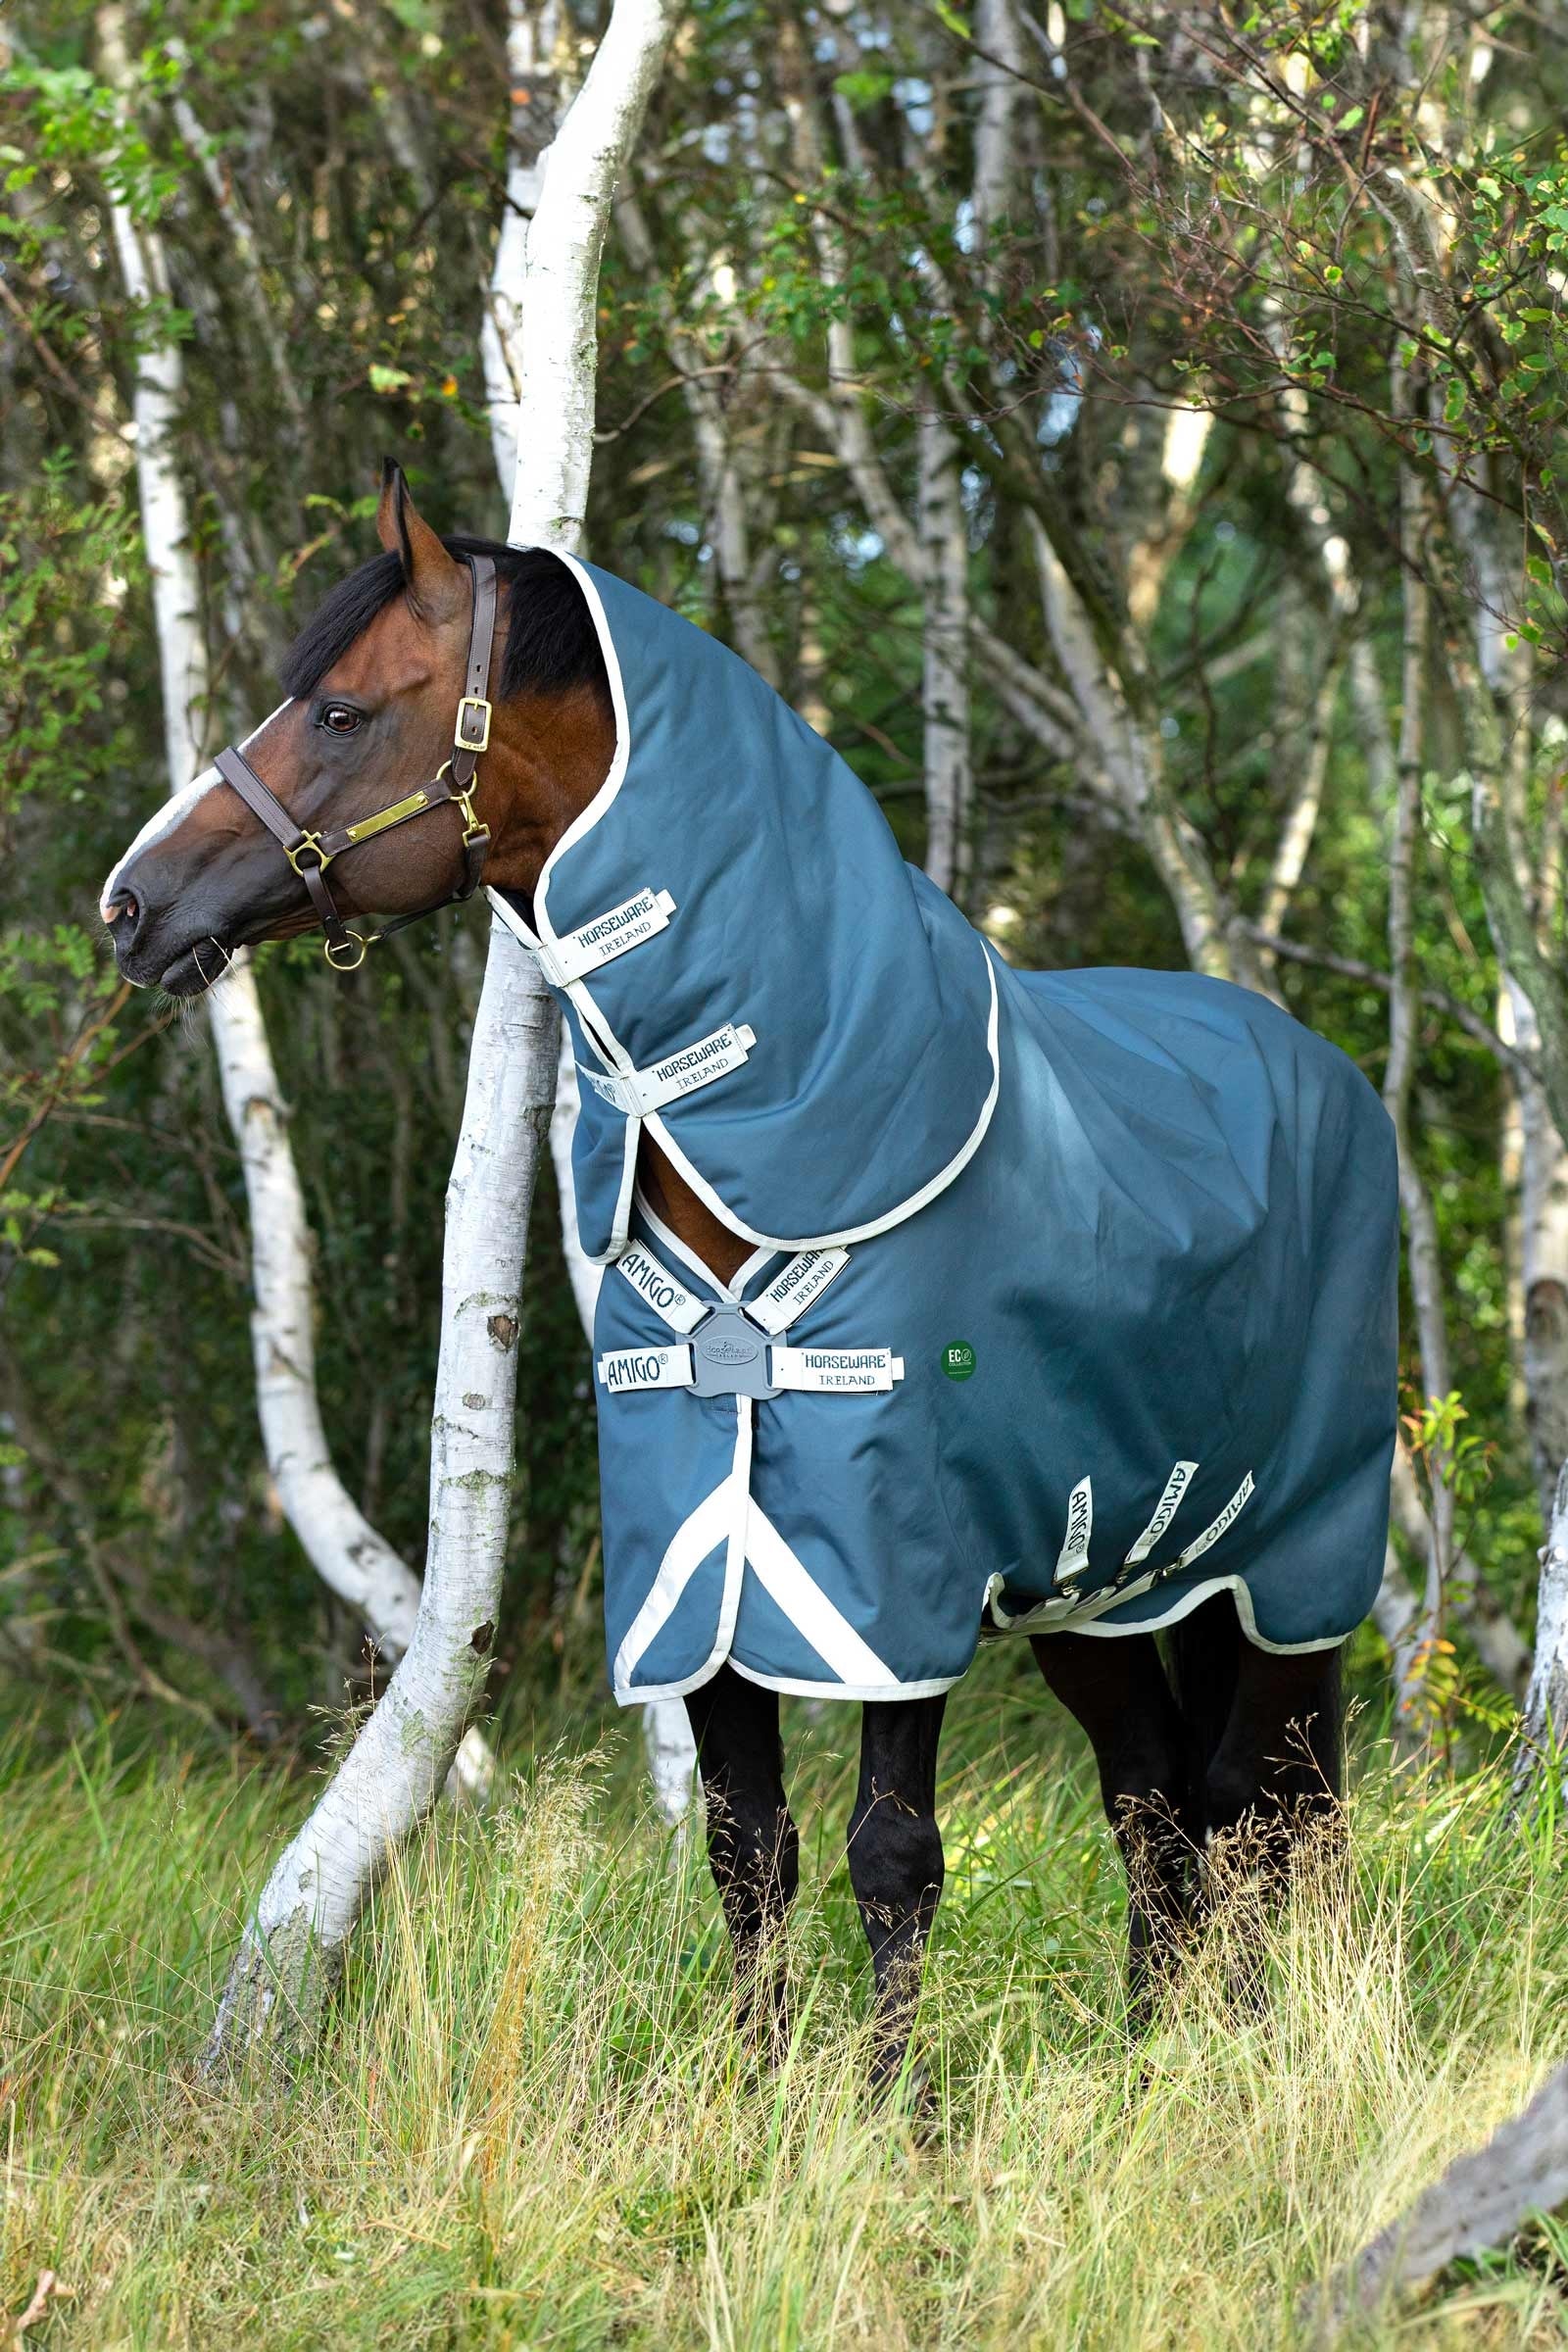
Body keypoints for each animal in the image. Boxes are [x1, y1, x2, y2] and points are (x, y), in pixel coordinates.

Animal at [103, 463, 1399, 2092]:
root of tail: (1326, 1077)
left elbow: (894, 1851)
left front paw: (901, 2116)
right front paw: (761, 2094)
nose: (129, 904)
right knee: (1159, 1796)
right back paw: (1153, 2054)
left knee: (1262, 1800)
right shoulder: (703, 1581)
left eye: (338, 709)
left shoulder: (897, 1590)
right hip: (1103, 1584)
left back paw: (1255, 2051)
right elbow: (746, 1846)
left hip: (1287, 1565)